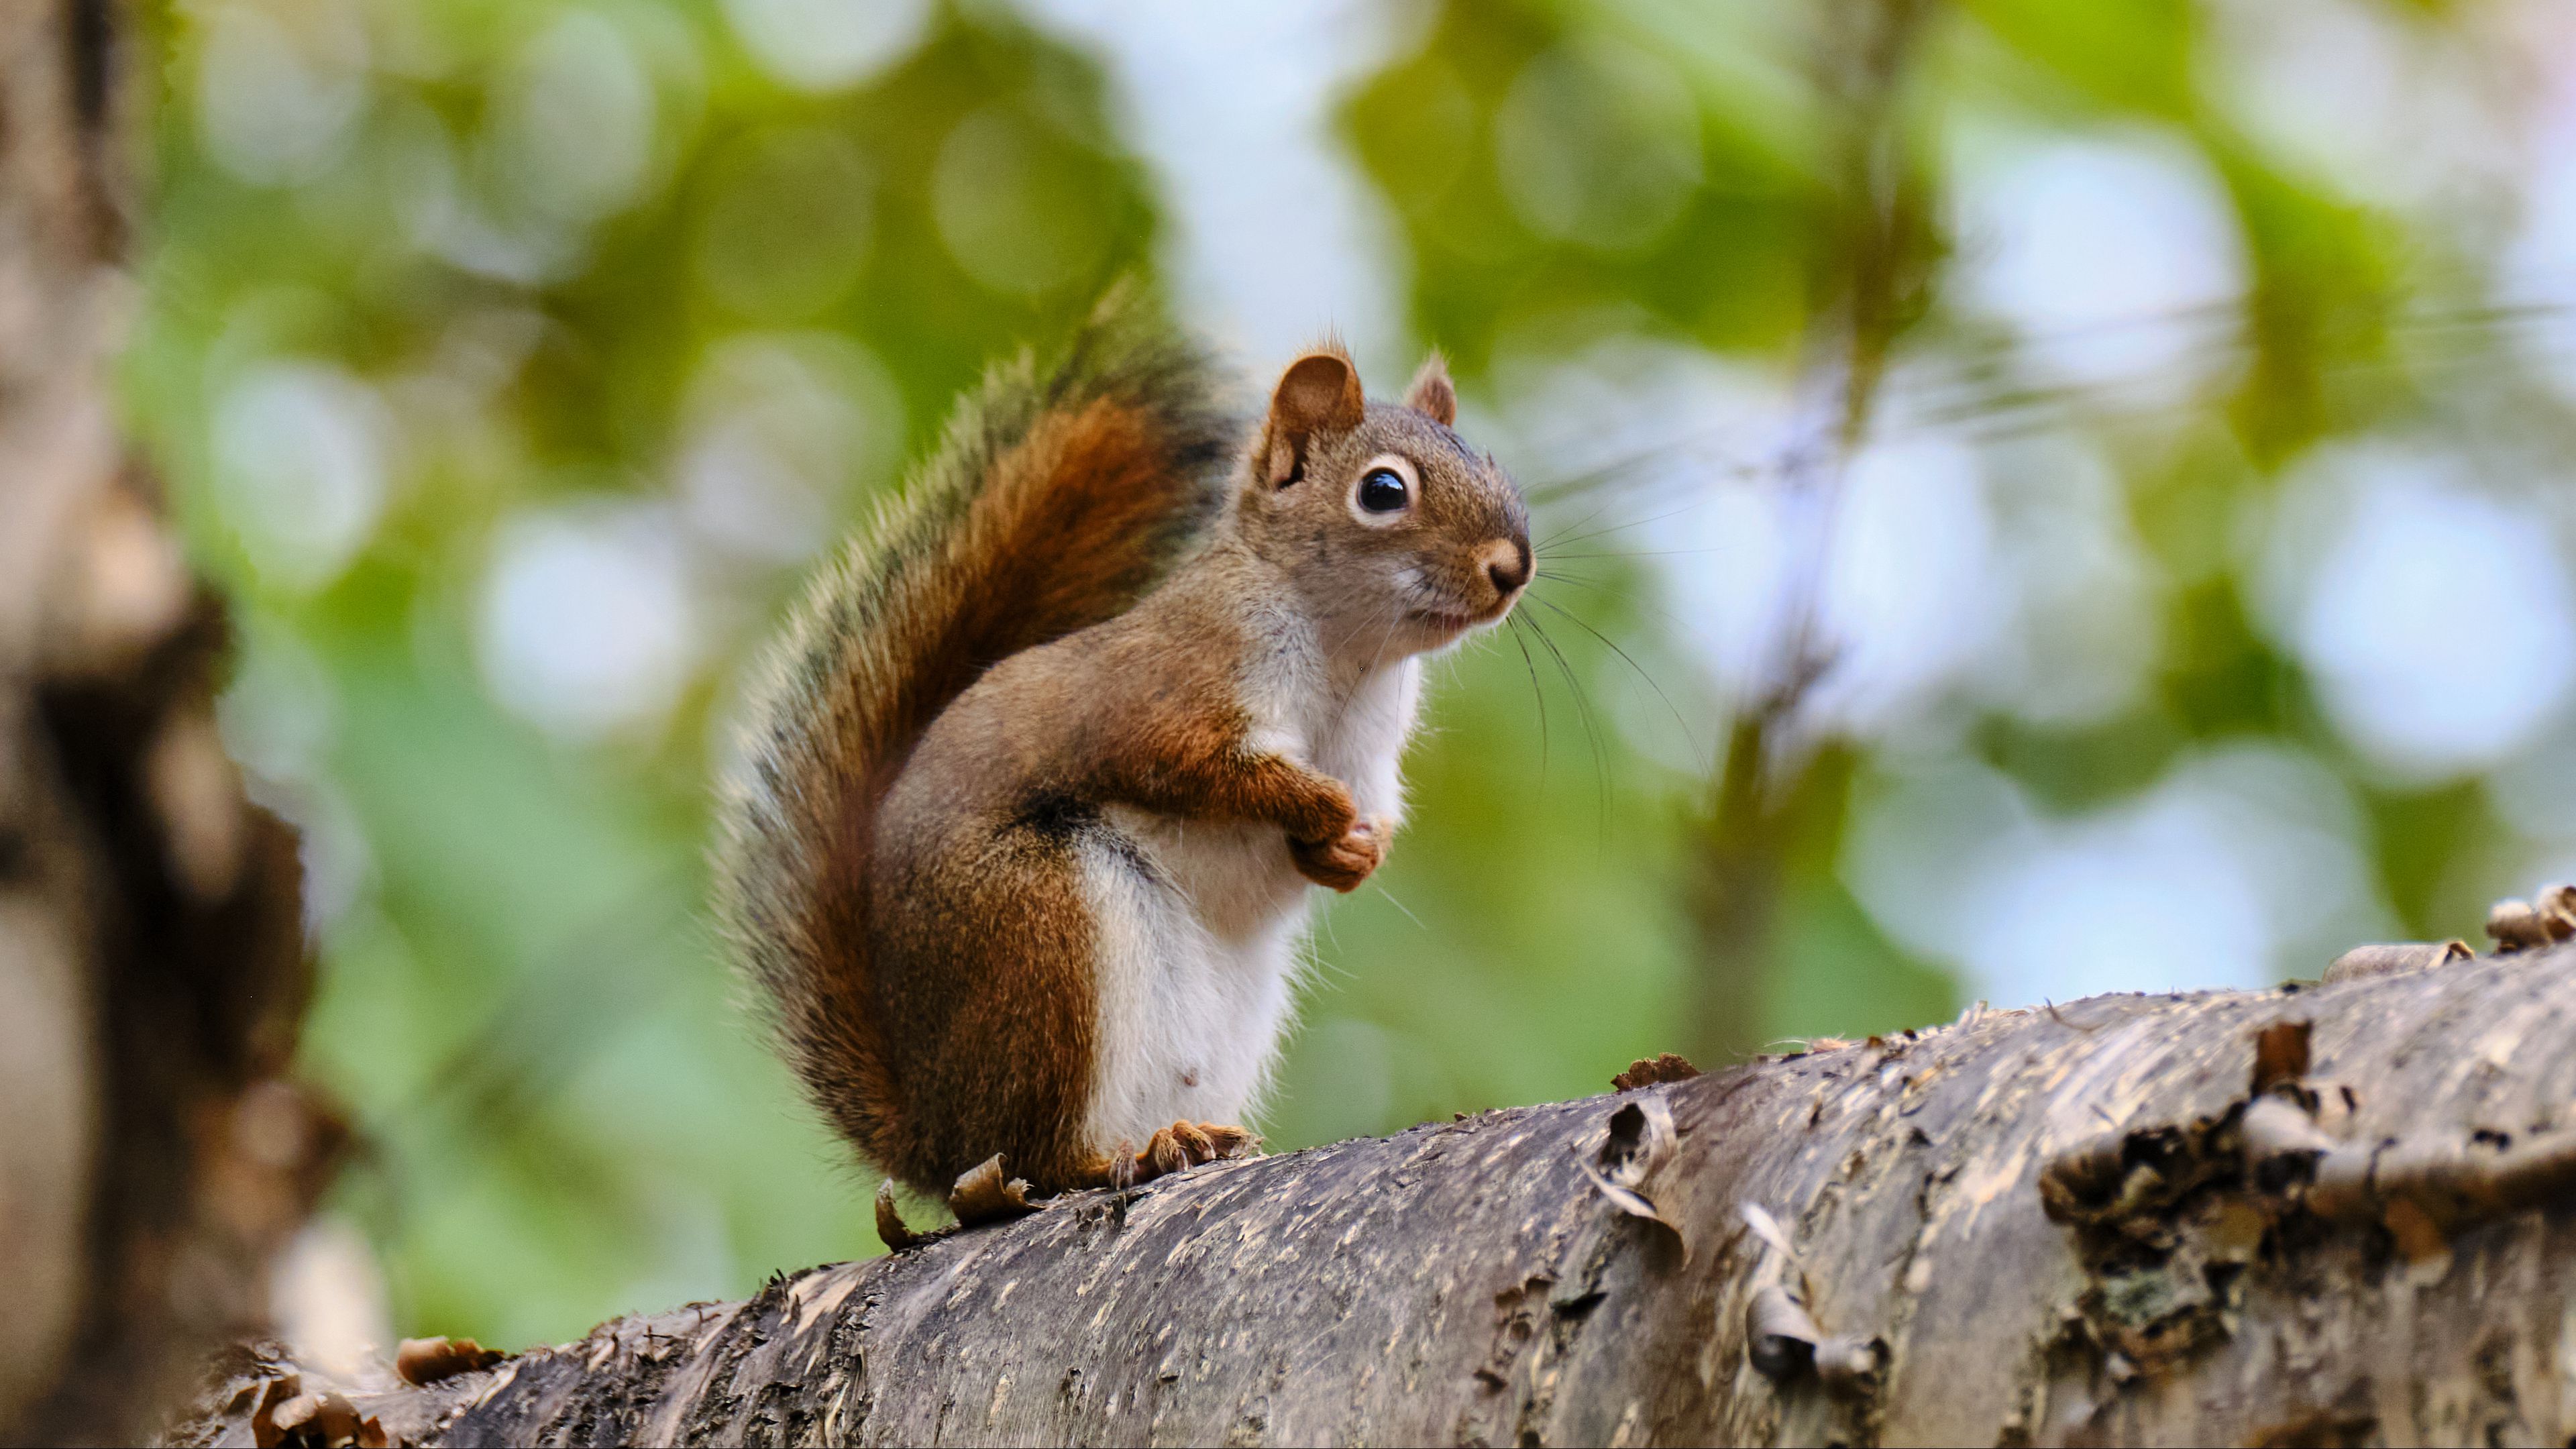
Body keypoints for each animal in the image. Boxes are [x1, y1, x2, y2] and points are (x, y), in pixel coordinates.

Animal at [713, 290, 1531, 1216]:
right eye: (1384, 490)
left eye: (1493, 465)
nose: (1513, 567)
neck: (1351, 655)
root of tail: (932, 1133)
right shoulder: (1170, 693)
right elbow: (1198, 769)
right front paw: (1318, 807)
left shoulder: (1372, 755)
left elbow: (1367, 823)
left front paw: (1355, 851)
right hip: (1043, 934)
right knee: (1034, 1154)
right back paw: (1117, 1157)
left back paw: (1192, 1137)